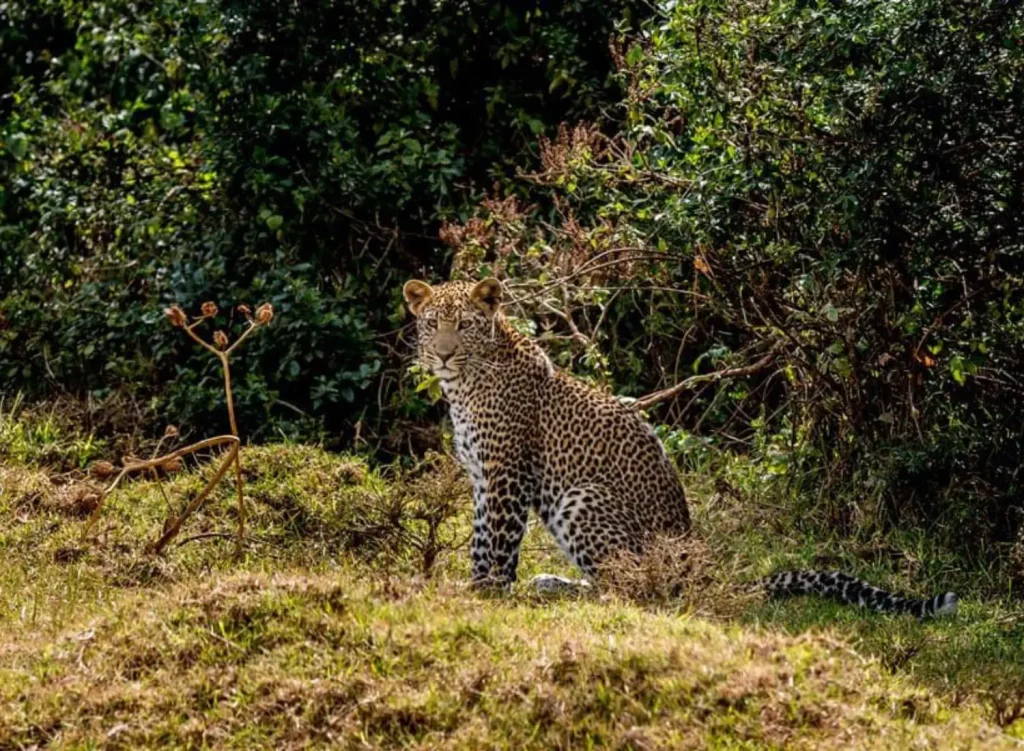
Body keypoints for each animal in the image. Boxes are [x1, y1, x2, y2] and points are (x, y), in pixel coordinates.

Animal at [403, 277, 958, 620]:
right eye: (432, 324)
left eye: (465, 325)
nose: (444, 353)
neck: (464, 383)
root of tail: (694, 563)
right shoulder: (481, 477)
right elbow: (480, 538)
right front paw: (475, 586)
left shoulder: (507, 473)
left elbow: (498, 542)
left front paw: (487, 594)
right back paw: (552, 585)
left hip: (581, 497)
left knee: (634, 589)